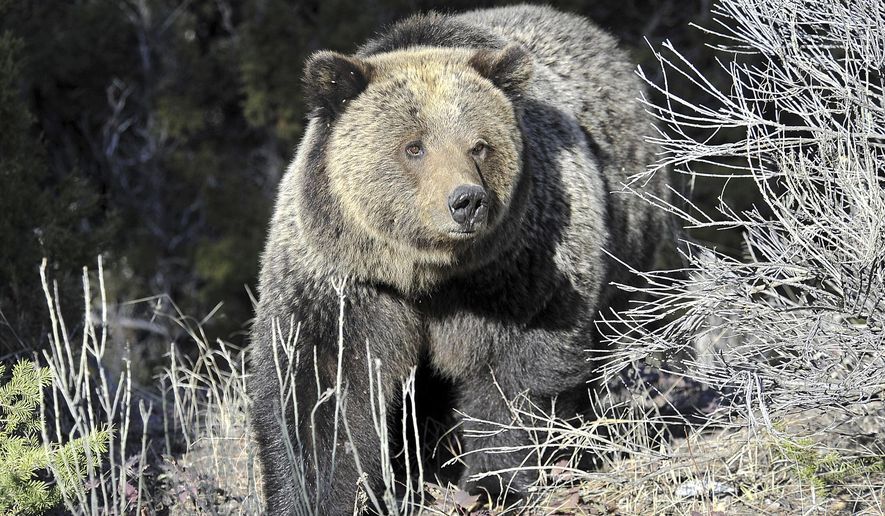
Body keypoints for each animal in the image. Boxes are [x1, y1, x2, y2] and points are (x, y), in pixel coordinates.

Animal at [249, 4, 670, 514]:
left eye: (479, 145)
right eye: (414, 146)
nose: (466, 201)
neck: (426, 273)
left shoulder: (518, 271)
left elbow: (515, 376)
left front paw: (495, 485)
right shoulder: (344, 281)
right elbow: (321, 390)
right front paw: (316, 494)